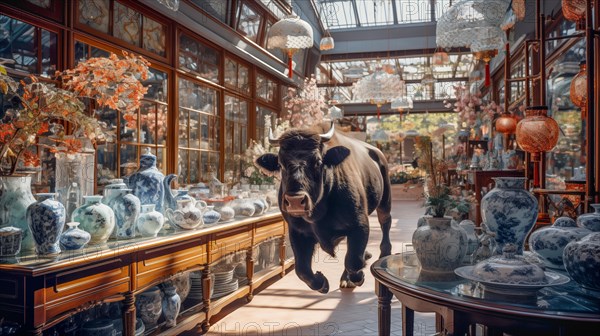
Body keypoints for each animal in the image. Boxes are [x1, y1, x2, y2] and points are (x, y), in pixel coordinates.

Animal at [254, 122, 392, 292]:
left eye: (318, 162)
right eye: (280, 164)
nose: (295, 201)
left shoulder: (360, 225)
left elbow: (353, 261)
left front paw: (360, 273)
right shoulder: (297, 232)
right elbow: (302, 270)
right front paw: (322, 283)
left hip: (385, 201)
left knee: (385, 224)